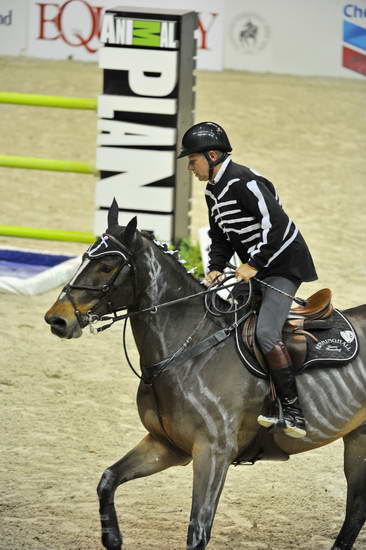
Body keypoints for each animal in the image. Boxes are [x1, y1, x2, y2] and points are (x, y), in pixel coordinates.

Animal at [45, 203, 366, 550]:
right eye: (83, 258)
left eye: (106, 267)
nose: (57, 319)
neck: (187, 352)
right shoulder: (166, 445)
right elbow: (107, 480)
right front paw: (113, 538)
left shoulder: (213, 454)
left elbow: (198, 531)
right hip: (358, 438)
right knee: (356, 508)